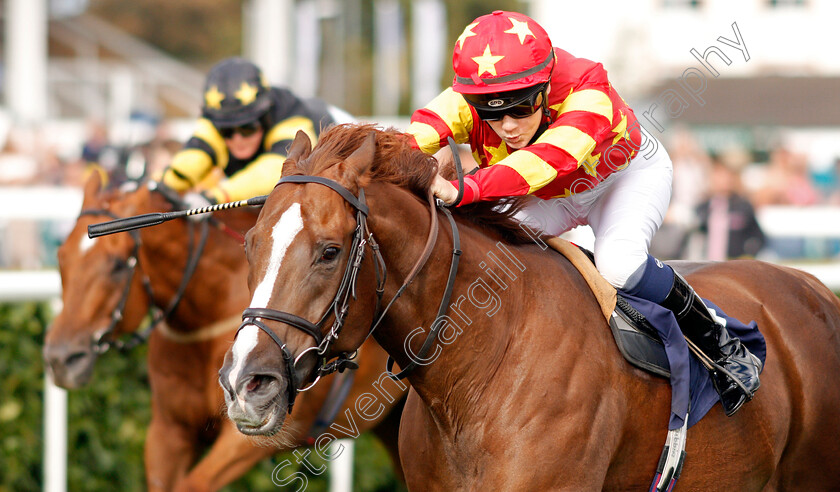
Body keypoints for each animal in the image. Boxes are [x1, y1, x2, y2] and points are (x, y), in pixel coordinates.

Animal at [44, 174, 406, 492]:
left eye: (118, 265)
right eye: (61, 258)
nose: (61, 359)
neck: (209, 311)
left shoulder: (252, 433)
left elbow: (195, 484)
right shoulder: (169, 429)